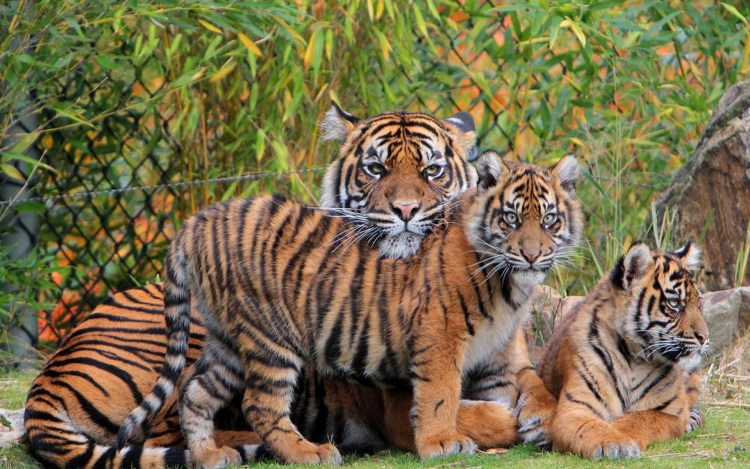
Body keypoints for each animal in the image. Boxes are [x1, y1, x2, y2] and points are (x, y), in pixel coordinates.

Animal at [24, 103, 485, 468]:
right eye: (376, 169)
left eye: (432, 171)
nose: (406, 210)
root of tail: (53, 371)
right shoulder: (395, 394)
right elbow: (461, 409)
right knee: (166, 426)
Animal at [116, 150, 582, 468]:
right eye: (510, 218)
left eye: (549, 220)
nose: (532, 255)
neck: (510, 287)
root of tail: (197, 221)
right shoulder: (437, 335)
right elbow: (440, 396)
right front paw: (441, 443)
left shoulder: (499, 355)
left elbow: (533, 386)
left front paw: (537, 420)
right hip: (271, 335)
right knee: (260, 404)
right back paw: (310, 452)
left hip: (228, 339)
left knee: (195, 390)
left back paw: (208, 455)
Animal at [538, 241, 710, 460]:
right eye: (674, 303)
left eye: (699, 302)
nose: (705, 337)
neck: (632, 358)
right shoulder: (574, 408)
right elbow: (591, 426)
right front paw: (613, 442)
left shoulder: (673, 411)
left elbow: (639, 418)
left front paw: (620, 438)